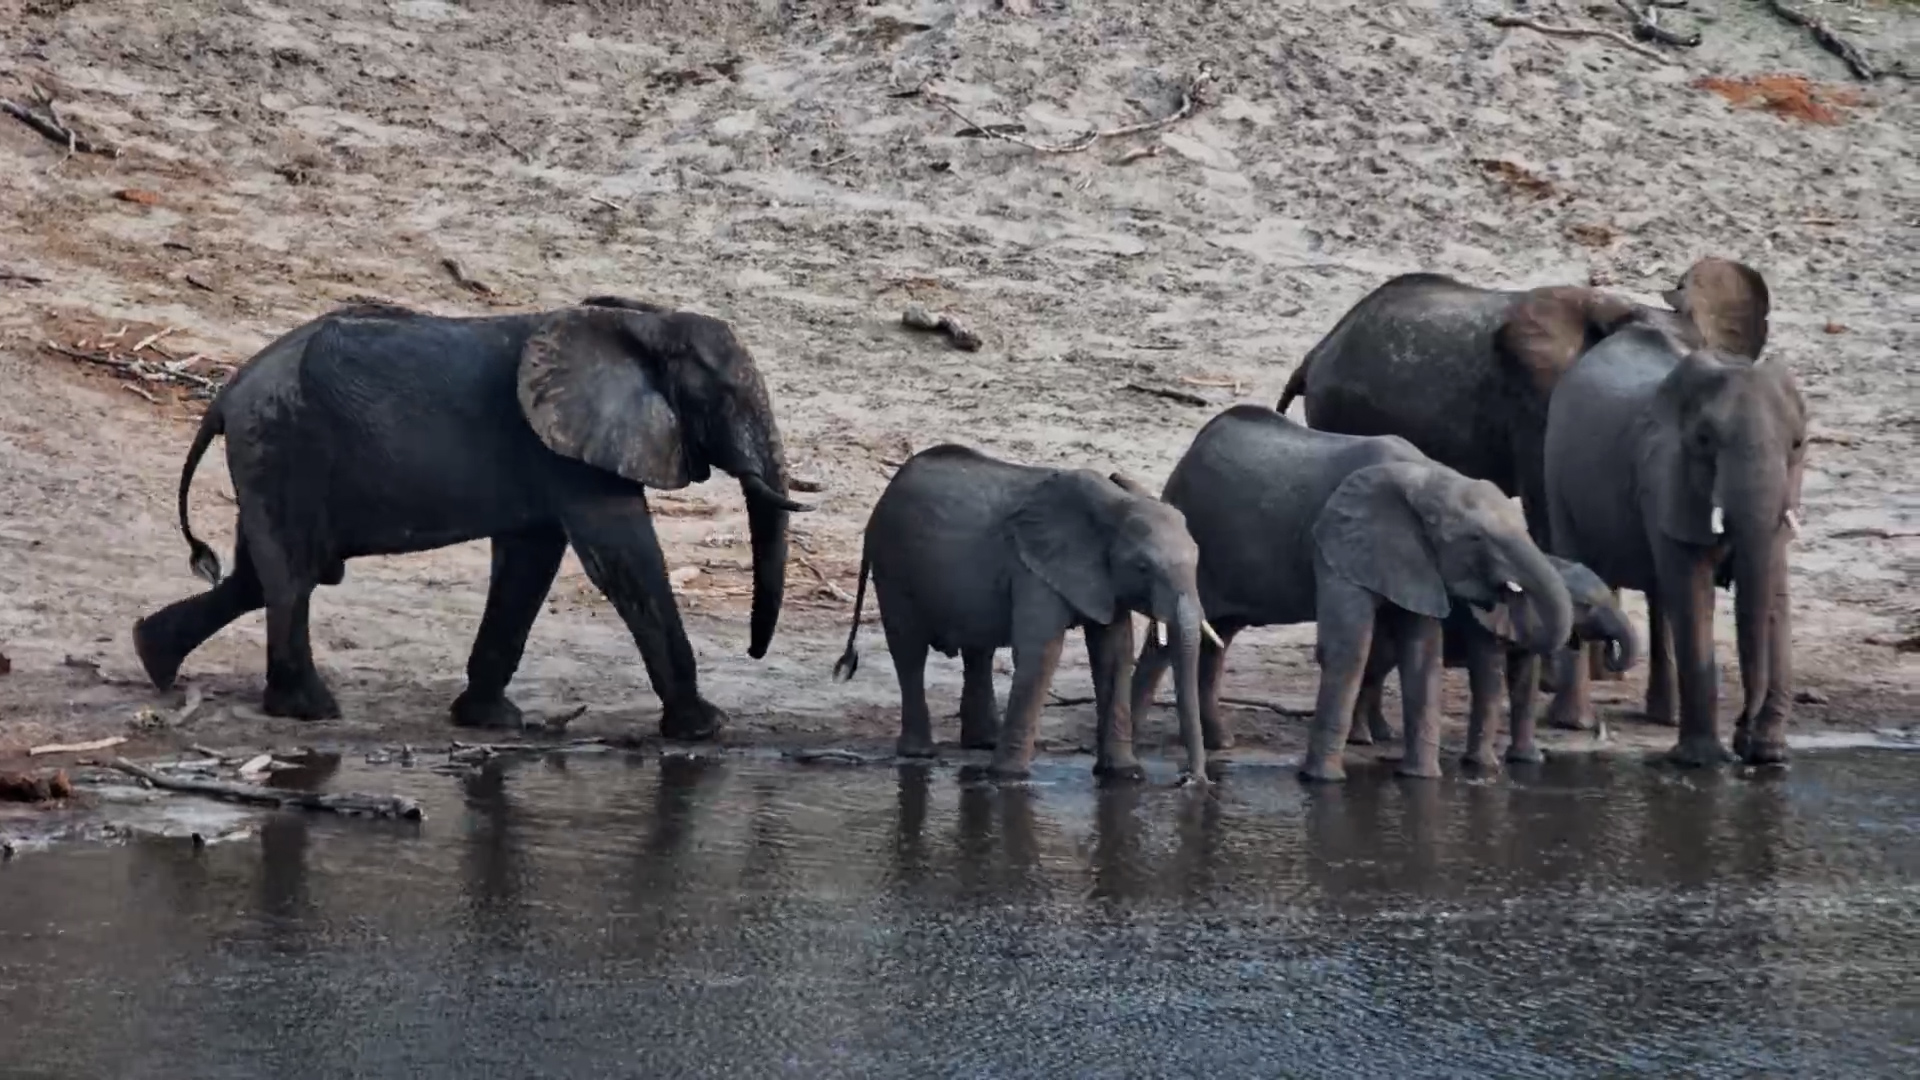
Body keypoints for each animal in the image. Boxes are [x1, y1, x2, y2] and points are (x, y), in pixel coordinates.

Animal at [131, 297, 807, 739]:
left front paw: (491, 722)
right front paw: (706, 729)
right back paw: (312, 710)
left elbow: (529, 562)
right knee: (292, 578)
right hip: (280, 444)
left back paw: (153, 656)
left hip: (269, 454)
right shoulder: (570, 454)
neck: (641, 322)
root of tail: (225, 391)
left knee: (258, 578)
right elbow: (625, 561)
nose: (753, 653)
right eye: (722, 397)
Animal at [831, 444, 1223, 780]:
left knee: (978, 649)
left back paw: (982, 743)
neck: (1114, 504)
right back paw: (920, 754)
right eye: (1143, 567)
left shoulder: (1103, 579)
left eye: (1197, 559)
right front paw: (1008, 778)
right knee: (909, 650)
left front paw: (1124, 775)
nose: (1191, 779)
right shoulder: (1034, 567)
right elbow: (1042, 652)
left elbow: (1114, 654)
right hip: (893, 566)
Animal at [1127, 405, 1574, 782]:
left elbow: (1421, 653)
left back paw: (1219, 742)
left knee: (1219, 638)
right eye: (1476, 538)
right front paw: (1321, 780)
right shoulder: (1336, 545)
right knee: (1166, 643)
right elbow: (1348, 649)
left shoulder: (1412, 560)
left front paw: (1420, 779)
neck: (1428, 477)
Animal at [1347, 555, 1640, 767]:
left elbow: (1525, 679)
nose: (1609, 647)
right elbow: (1489, 676)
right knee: (1375, 666)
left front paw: (1530, 760)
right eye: (1587, 606)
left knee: (1378, 670)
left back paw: (1381, 735)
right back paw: (1362, 740)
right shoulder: (1483, 623)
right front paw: (1483, 766)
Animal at [1542, 279, 1805, 767]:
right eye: (1703, 441)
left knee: (1660, 594)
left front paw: (1770, 756)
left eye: (1798, 444)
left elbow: (1774, 593)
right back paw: (1575, 724)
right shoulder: (1662, 473)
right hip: (1555, 465)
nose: (1742, 732)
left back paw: (1661, 719)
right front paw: (1704, 762)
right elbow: (1692, 589)